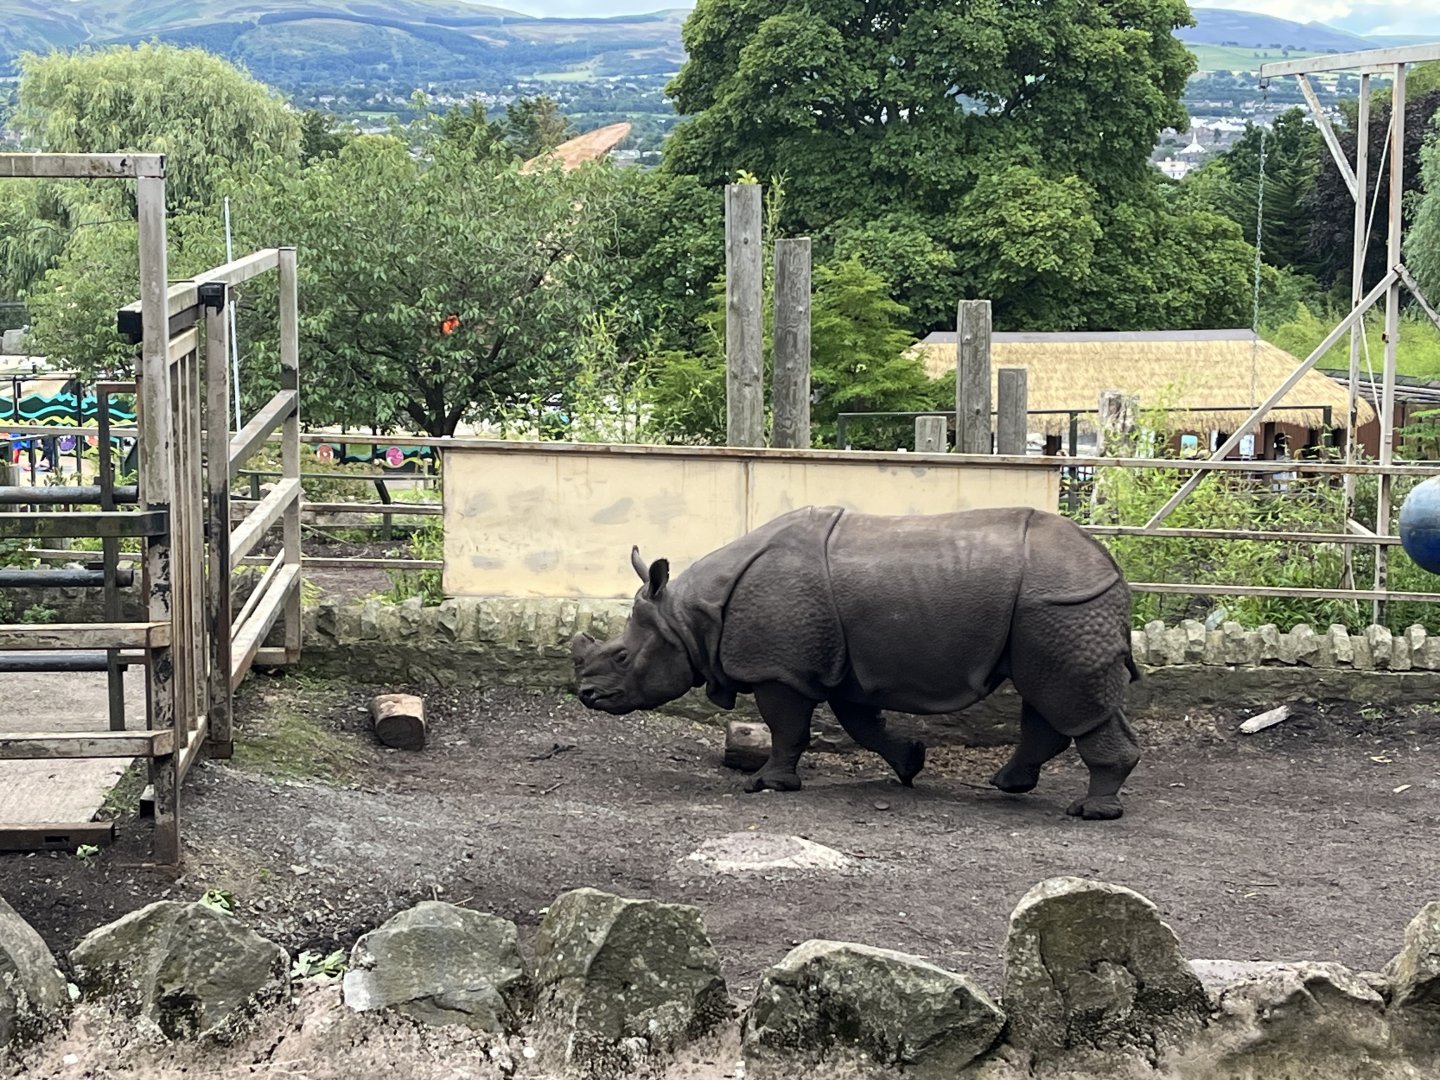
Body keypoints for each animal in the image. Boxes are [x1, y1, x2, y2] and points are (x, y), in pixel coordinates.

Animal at [572, 505, 1143, 819]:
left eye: (622, 656)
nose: (586, 695)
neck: (691, 616)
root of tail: (1110, 564)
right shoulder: (849, 668)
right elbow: (863, 724)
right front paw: (911, 763)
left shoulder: (779, 669)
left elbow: (786, 726)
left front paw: (765, 786)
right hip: (1053, 609)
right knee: (1047, 694)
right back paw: (1009, 785)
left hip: (1063, 604)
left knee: (1064, 695)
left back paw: (1089, 812)